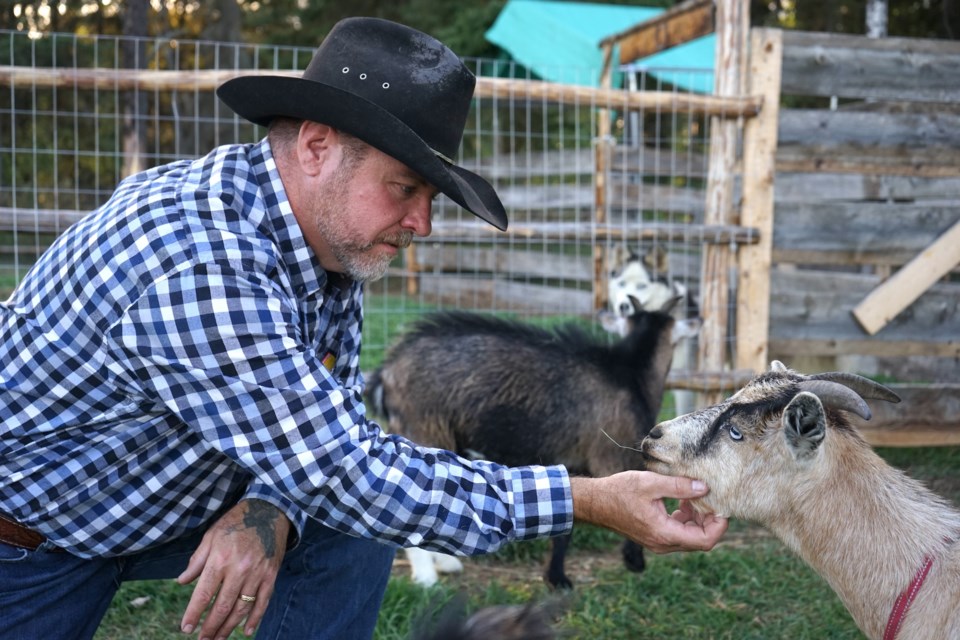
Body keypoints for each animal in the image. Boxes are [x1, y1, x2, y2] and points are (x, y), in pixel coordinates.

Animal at [366, 298, 676, 588]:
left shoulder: (573, 460)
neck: (628, 373)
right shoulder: (610, 455)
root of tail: (385, 374)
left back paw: (445, 564)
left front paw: (555, 577)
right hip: (423, 430)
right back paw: (426, 577)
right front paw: (630, 561)